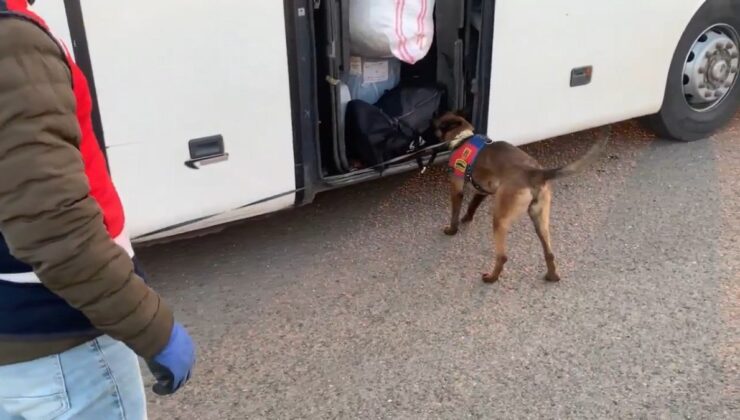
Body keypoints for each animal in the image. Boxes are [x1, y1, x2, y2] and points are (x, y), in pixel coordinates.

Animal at [434, 112, 608, 282]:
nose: (432, 125)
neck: (463, 138)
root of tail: (535, 173)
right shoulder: (482, 190)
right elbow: (472, 205)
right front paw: (467, 218)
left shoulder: (456, 186)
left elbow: (455, 212)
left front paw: (452, 230)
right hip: (540, 218)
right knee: (549, 252)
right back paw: (552, 276)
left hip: (500, 219)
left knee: (502, 256)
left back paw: (491, 278)